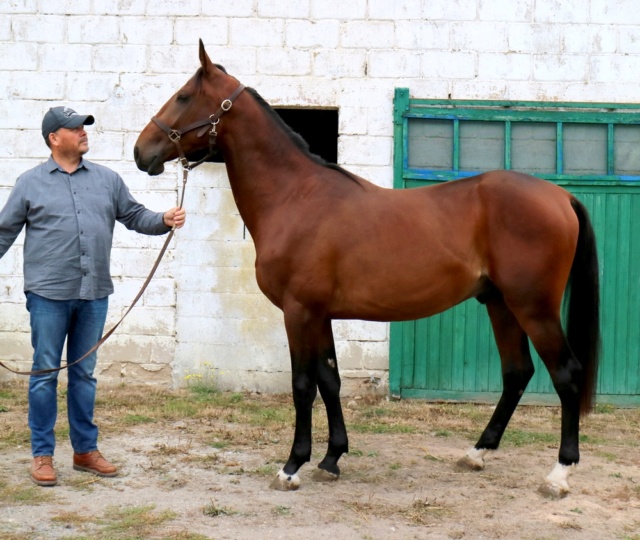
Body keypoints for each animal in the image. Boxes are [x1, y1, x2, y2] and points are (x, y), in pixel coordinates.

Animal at [134, 41, 600, 498]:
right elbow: (330, 380)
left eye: (183, 96)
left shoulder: (299, 312)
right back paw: (477, 453)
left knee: (566, 374)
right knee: (517, 372)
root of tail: (560, 196)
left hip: (533, 307)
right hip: (499, 303)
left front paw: (292, 466)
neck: (295, 197)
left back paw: (559, 474)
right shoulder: (319, 314)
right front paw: (331, 458)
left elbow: (302, 385)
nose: (141, 152)